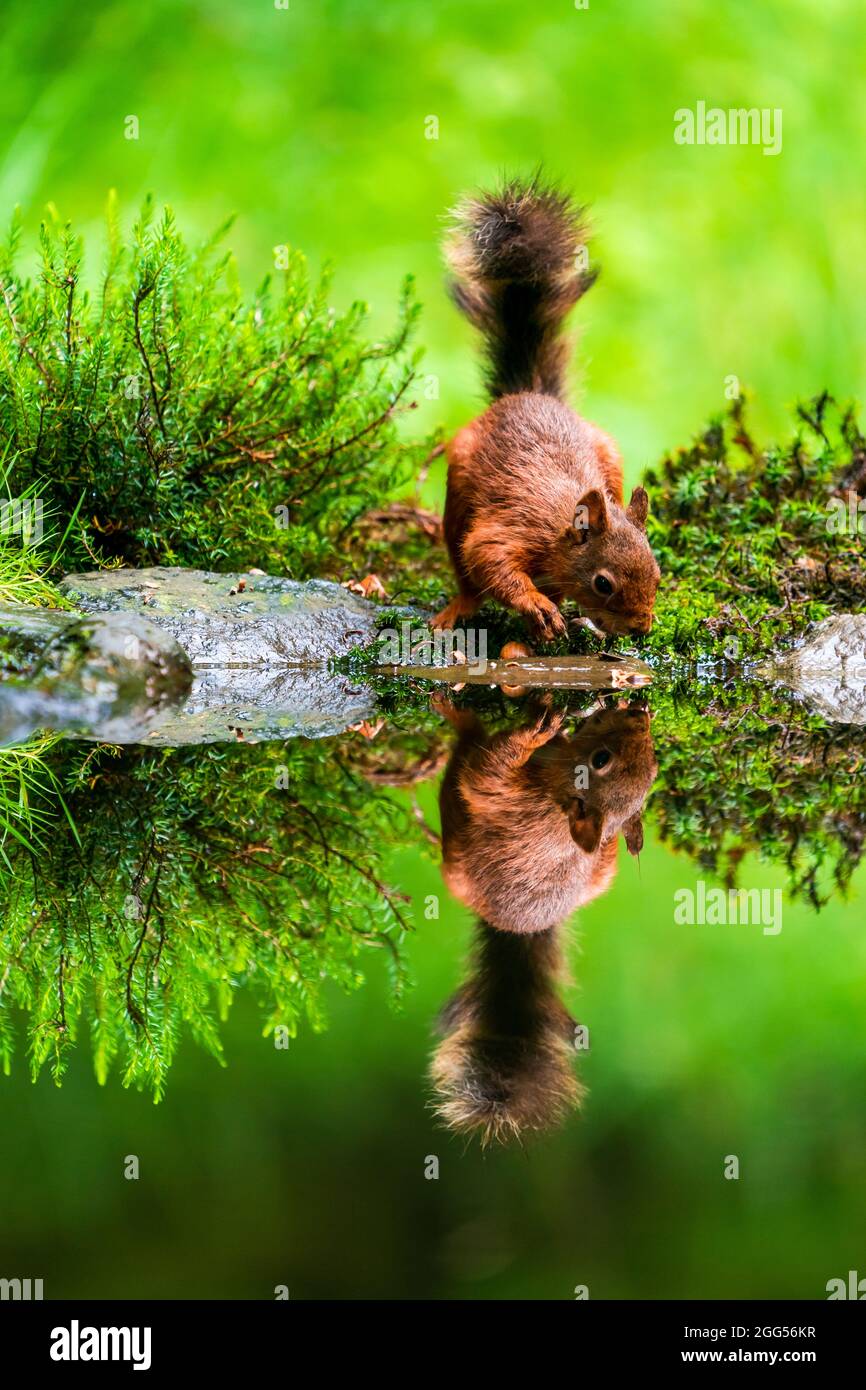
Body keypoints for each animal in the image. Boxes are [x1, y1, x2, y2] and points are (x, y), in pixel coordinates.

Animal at [432, 176, 660, 642]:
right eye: (603, 583)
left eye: (657, 574)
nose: (641, 629)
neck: (558, 531)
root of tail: (527, 393)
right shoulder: (512, 530)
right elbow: (488, 558)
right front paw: (534, 605)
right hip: (457, 490)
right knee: (467, 575)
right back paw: (462, 608)